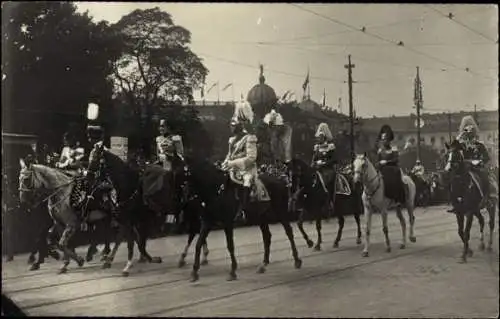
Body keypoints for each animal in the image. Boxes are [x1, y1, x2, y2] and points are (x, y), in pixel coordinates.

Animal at [87, 144, 162, 276]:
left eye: (95, 159)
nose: (88, 177)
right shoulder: (123, 218)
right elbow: (124, 239)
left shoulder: (129, 219)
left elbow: (129, 241)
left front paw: (127, 265)